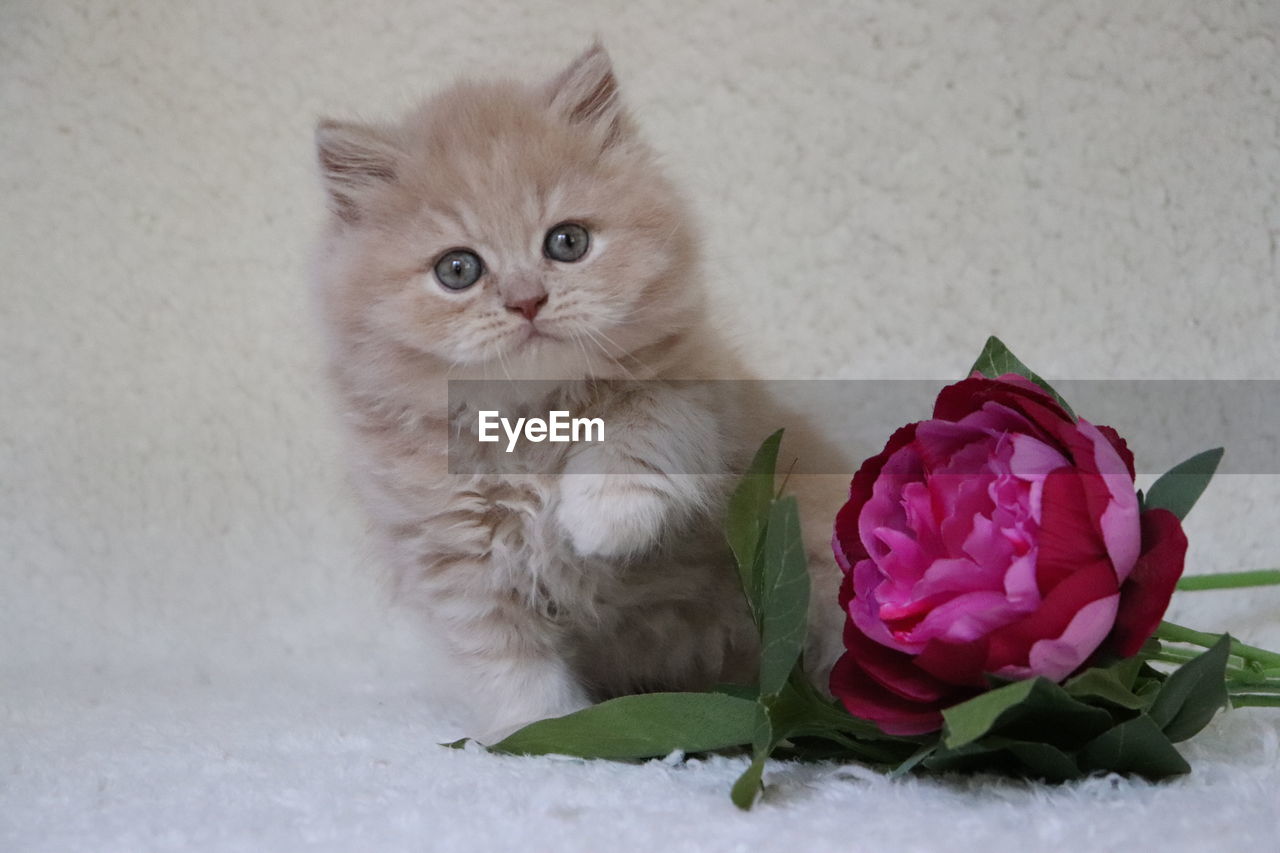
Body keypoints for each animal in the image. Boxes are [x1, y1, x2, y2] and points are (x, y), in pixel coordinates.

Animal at [312, 44, 849, 732]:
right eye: (457, 270)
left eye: (567, 242)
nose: (526, 300)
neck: (527, 427)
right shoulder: (454, 556)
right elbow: (512, 667)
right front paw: (544, 733)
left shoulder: (706, 395)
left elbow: (650, 421)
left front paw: (599, 518)